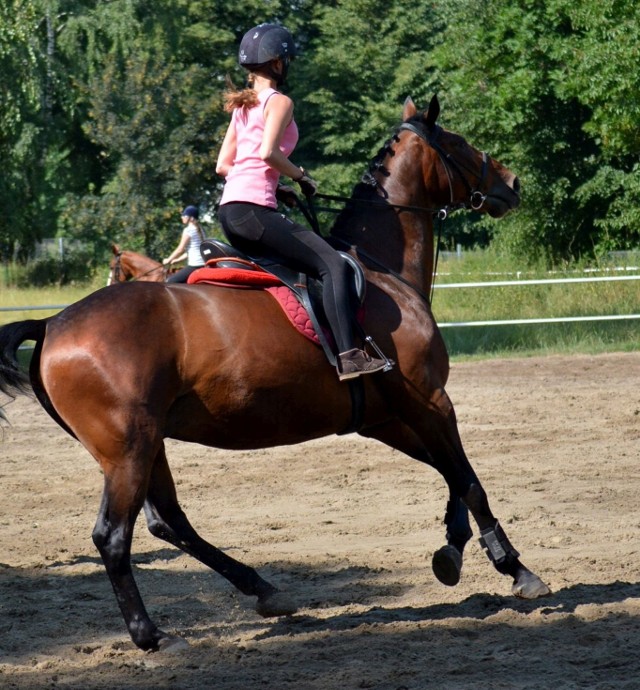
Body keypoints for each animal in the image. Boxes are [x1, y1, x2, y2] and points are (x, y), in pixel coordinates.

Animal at [0, 97, 552, 652]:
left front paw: (453, 551)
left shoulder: (389, 416)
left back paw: (263, 589)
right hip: (128, 449)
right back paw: (152, 635)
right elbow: (469, 479)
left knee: (169, 522)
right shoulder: (429, 399)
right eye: (458, 143)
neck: (381, 272)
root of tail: (52, 323)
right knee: (114, 536)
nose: (512, 182)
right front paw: (516, 568)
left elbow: (451, 475)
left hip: (145, 443)